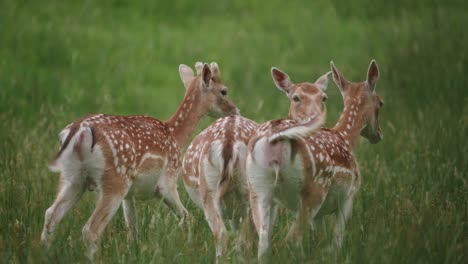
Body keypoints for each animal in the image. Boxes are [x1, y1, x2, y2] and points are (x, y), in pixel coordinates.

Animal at [39, 61, 238, 258]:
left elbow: (132, 228)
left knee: (51, 215)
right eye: (224, 91)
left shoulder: (130, 194)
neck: (175, 136)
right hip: (115, 179)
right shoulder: (168, 180)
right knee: (90, 230)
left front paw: (132, 251)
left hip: (72, 176)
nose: (235, 110)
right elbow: (186, 217)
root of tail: (78, 131)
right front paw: (187, 248)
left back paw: (45, 253)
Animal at [183, 66, 332, 260]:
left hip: (211, 189)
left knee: (224, 234)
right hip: (249, 189)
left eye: (323, 97)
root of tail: (229, 140)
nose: (315, 119)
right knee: (243, 238)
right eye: (296, 98)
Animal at [247, 60, 382, 260]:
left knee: (263, 240)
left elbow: (321, 239)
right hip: (315, 188)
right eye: (381, 103)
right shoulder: (349, 195)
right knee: (292, 238)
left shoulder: (320, 215)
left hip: (257, 187)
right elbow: (336, 239)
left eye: (323, 98)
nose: (378, 135)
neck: (345, 138)